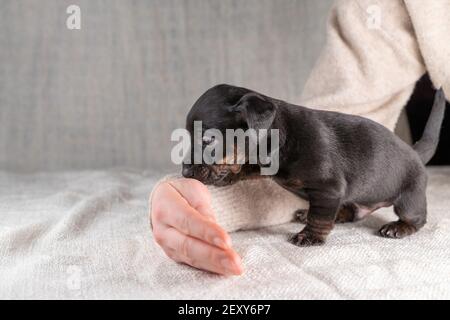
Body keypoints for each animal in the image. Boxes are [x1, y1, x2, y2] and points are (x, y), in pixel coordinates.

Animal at [182, 84, 446, 246]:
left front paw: (309, 237)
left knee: (417, 218)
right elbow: (249, 167)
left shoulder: (327, 188)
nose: (185, 171)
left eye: (208, 139)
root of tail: (415, 151)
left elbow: (320, 217)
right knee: (353, 211)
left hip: (409, 197)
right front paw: (230, 176)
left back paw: (399, 227)